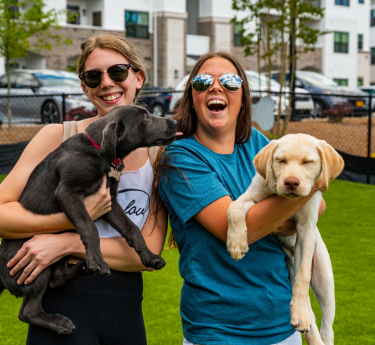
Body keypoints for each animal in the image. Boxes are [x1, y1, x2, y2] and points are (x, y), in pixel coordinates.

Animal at [0, 105, 179, 334]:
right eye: (145, 118)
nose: (175, 122)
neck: (98, 152)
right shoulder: (68, 192)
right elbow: (89, 227)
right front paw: (97, 260)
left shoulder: (110, 202)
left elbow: (131, 229)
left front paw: (149, 256)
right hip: (34, 269)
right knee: (28, 312)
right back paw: (58, 321)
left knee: (56, 279)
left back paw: (82, 268)